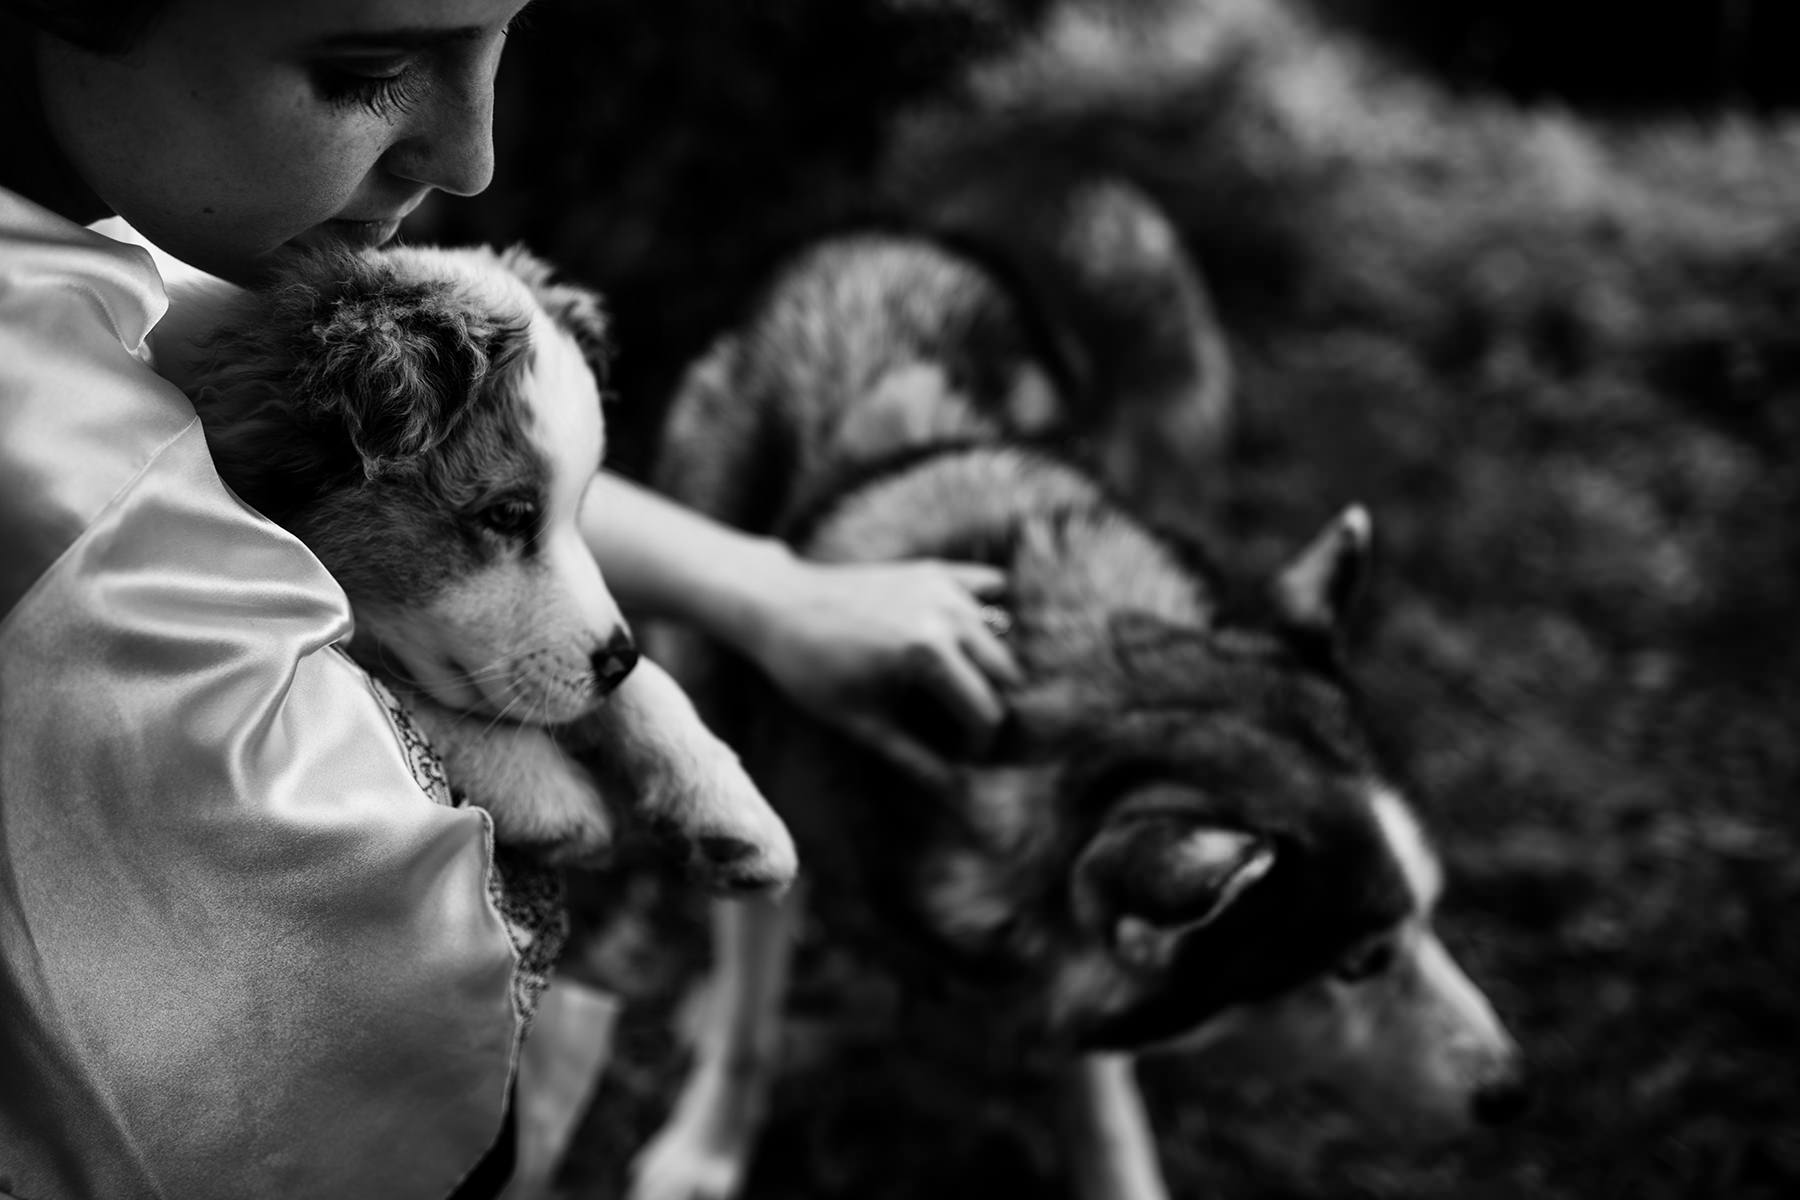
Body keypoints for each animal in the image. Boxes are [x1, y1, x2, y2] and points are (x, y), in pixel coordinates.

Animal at [626, 173, 1526, 1194]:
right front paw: (702, 1151)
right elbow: (750, 1016)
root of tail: (890, 235)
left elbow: (1095, 1081)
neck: (1044, 692)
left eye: (1430, 914)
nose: (1512, 1090)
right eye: (1359, 963)